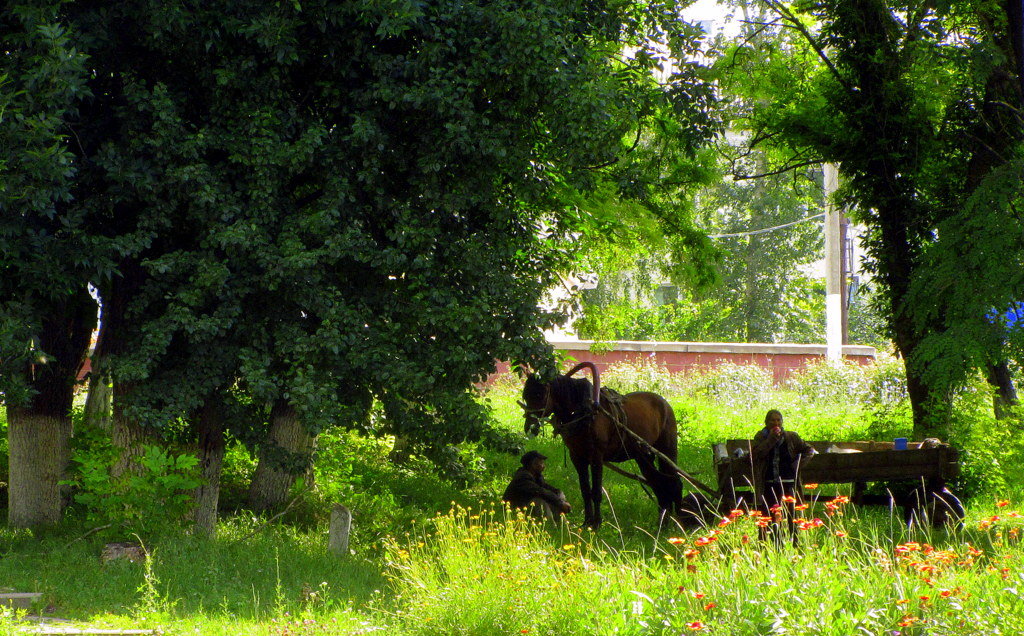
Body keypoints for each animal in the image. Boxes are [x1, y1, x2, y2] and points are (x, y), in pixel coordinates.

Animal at [520, 364, 688, 528]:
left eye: (540, 394)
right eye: (525, 395)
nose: (529, 426)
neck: (585, 411)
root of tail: (664, 403)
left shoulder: (597, 457)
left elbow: (596, 491)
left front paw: (596, 523)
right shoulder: (577, 457)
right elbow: (585, 490)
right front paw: (587, 522)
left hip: (667, 451)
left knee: (675, 482)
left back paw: (679, 521)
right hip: (643, 457)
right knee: (660, 483)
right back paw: (663, 522)